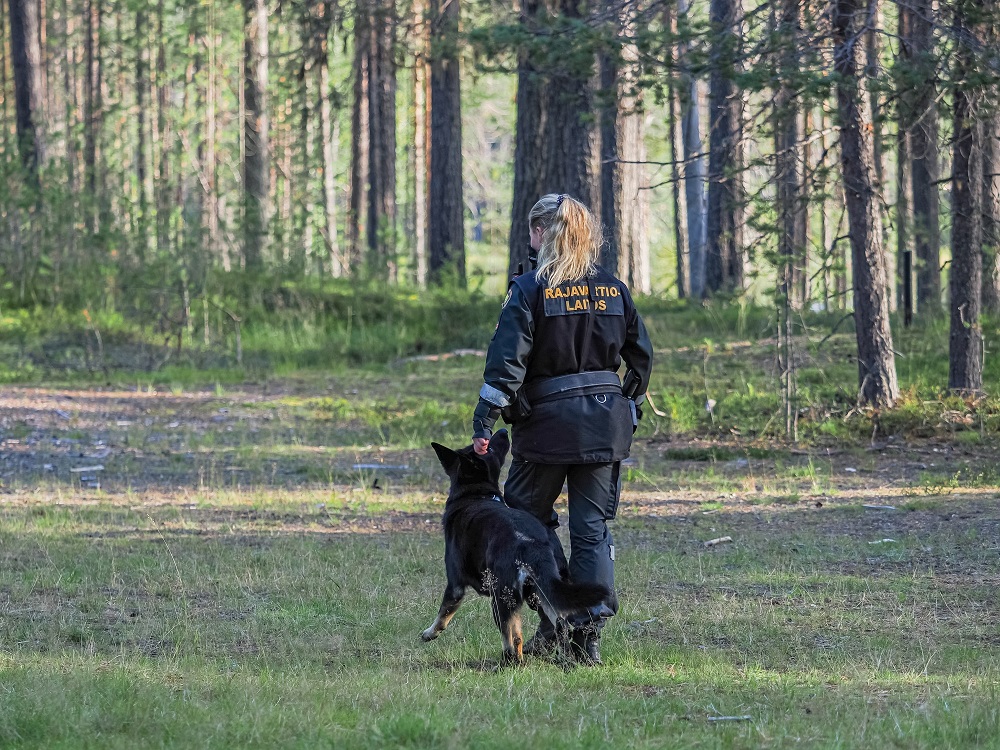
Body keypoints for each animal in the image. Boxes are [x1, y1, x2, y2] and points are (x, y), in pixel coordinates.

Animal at [418, 432, 604, 668]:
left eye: (487, 448)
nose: (503, 432)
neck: (476, 495)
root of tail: (533, 543)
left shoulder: (455, 585)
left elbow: (444, 613)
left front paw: (429, 633)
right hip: (545, 593)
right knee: (560, 626)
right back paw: (565, 661)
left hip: (502, 599)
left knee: (513, 638)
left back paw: (509, 662)